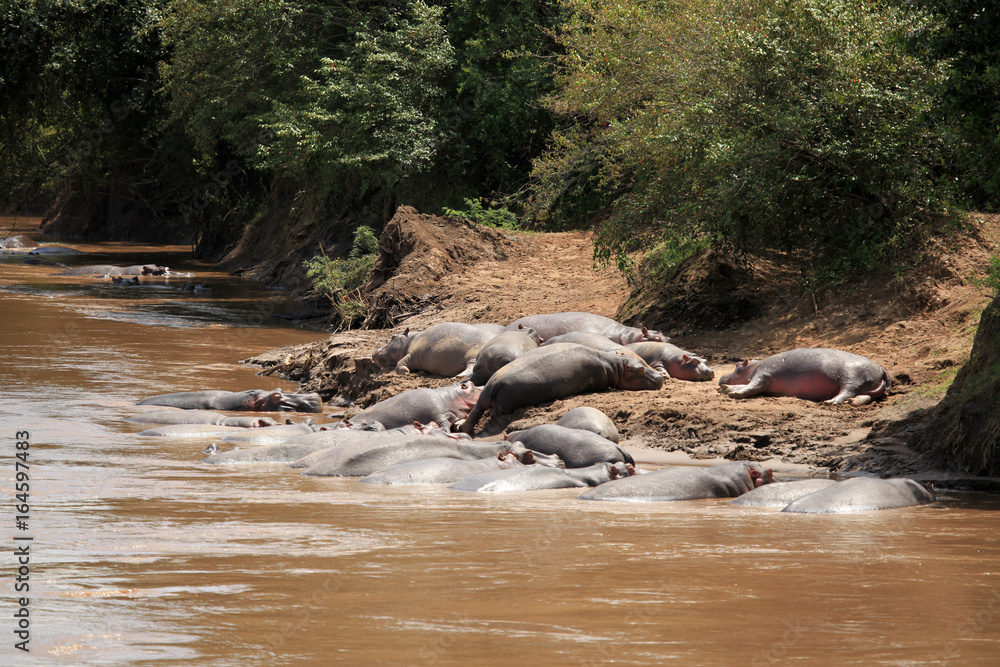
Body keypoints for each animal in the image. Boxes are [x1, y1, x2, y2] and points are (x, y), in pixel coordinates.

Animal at [373, 322, 504, 377]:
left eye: (392, 336)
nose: (375, 349)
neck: (410, 339)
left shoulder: (412, 354)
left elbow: (401, 362)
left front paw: (405, 372)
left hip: (472, 355)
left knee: (471, 368)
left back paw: (458, 376)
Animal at [459, 344, 663, 434]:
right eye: (641, 370)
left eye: (642, 362)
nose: (661, 377)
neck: (615, 365)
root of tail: (490, 386)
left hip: (487, 394)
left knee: (477, 410)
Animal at [718, 348, 890, 405]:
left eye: (737, 365)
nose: (721, 377)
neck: (753, 366)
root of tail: (882, 368)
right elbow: (745, 385)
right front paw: (727, 389)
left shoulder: (762, 375)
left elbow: (751, 387)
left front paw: (734, 393)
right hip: (867, 387)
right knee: (864, 397)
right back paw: (852, 402)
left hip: (851, 377)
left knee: (847, 392)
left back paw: (830, 402)